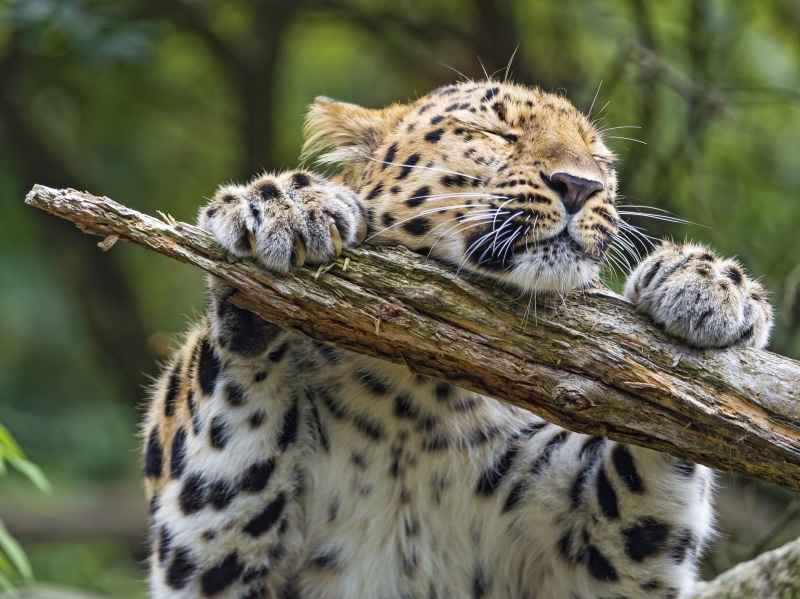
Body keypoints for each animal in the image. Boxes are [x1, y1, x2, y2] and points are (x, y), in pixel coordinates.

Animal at [142, 80, 773, 599]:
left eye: (601, 159)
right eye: (495, 132)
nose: (580, 186)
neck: (417, 398)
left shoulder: (593, 566)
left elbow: (659, 440)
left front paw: (708, 286)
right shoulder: (206, 559)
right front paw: (281, 206)